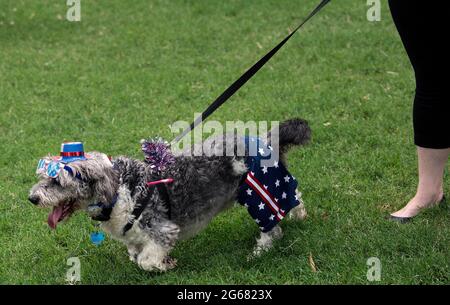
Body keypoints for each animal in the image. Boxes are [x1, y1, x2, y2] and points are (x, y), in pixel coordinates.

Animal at [28, 117, 310, 270]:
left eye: (56, 181)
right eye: (42, 178)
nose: (32, 198)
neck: (120, 192)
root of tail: (265, 141)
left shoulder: (163, 230)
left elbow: (146, 260)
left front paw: (165, 265)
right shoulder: (133, 236)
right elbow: (135, 255)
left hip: (259, 195)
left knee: (272, 229)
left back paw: (259, 252)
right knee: (295, 196)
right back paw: (301, 216)